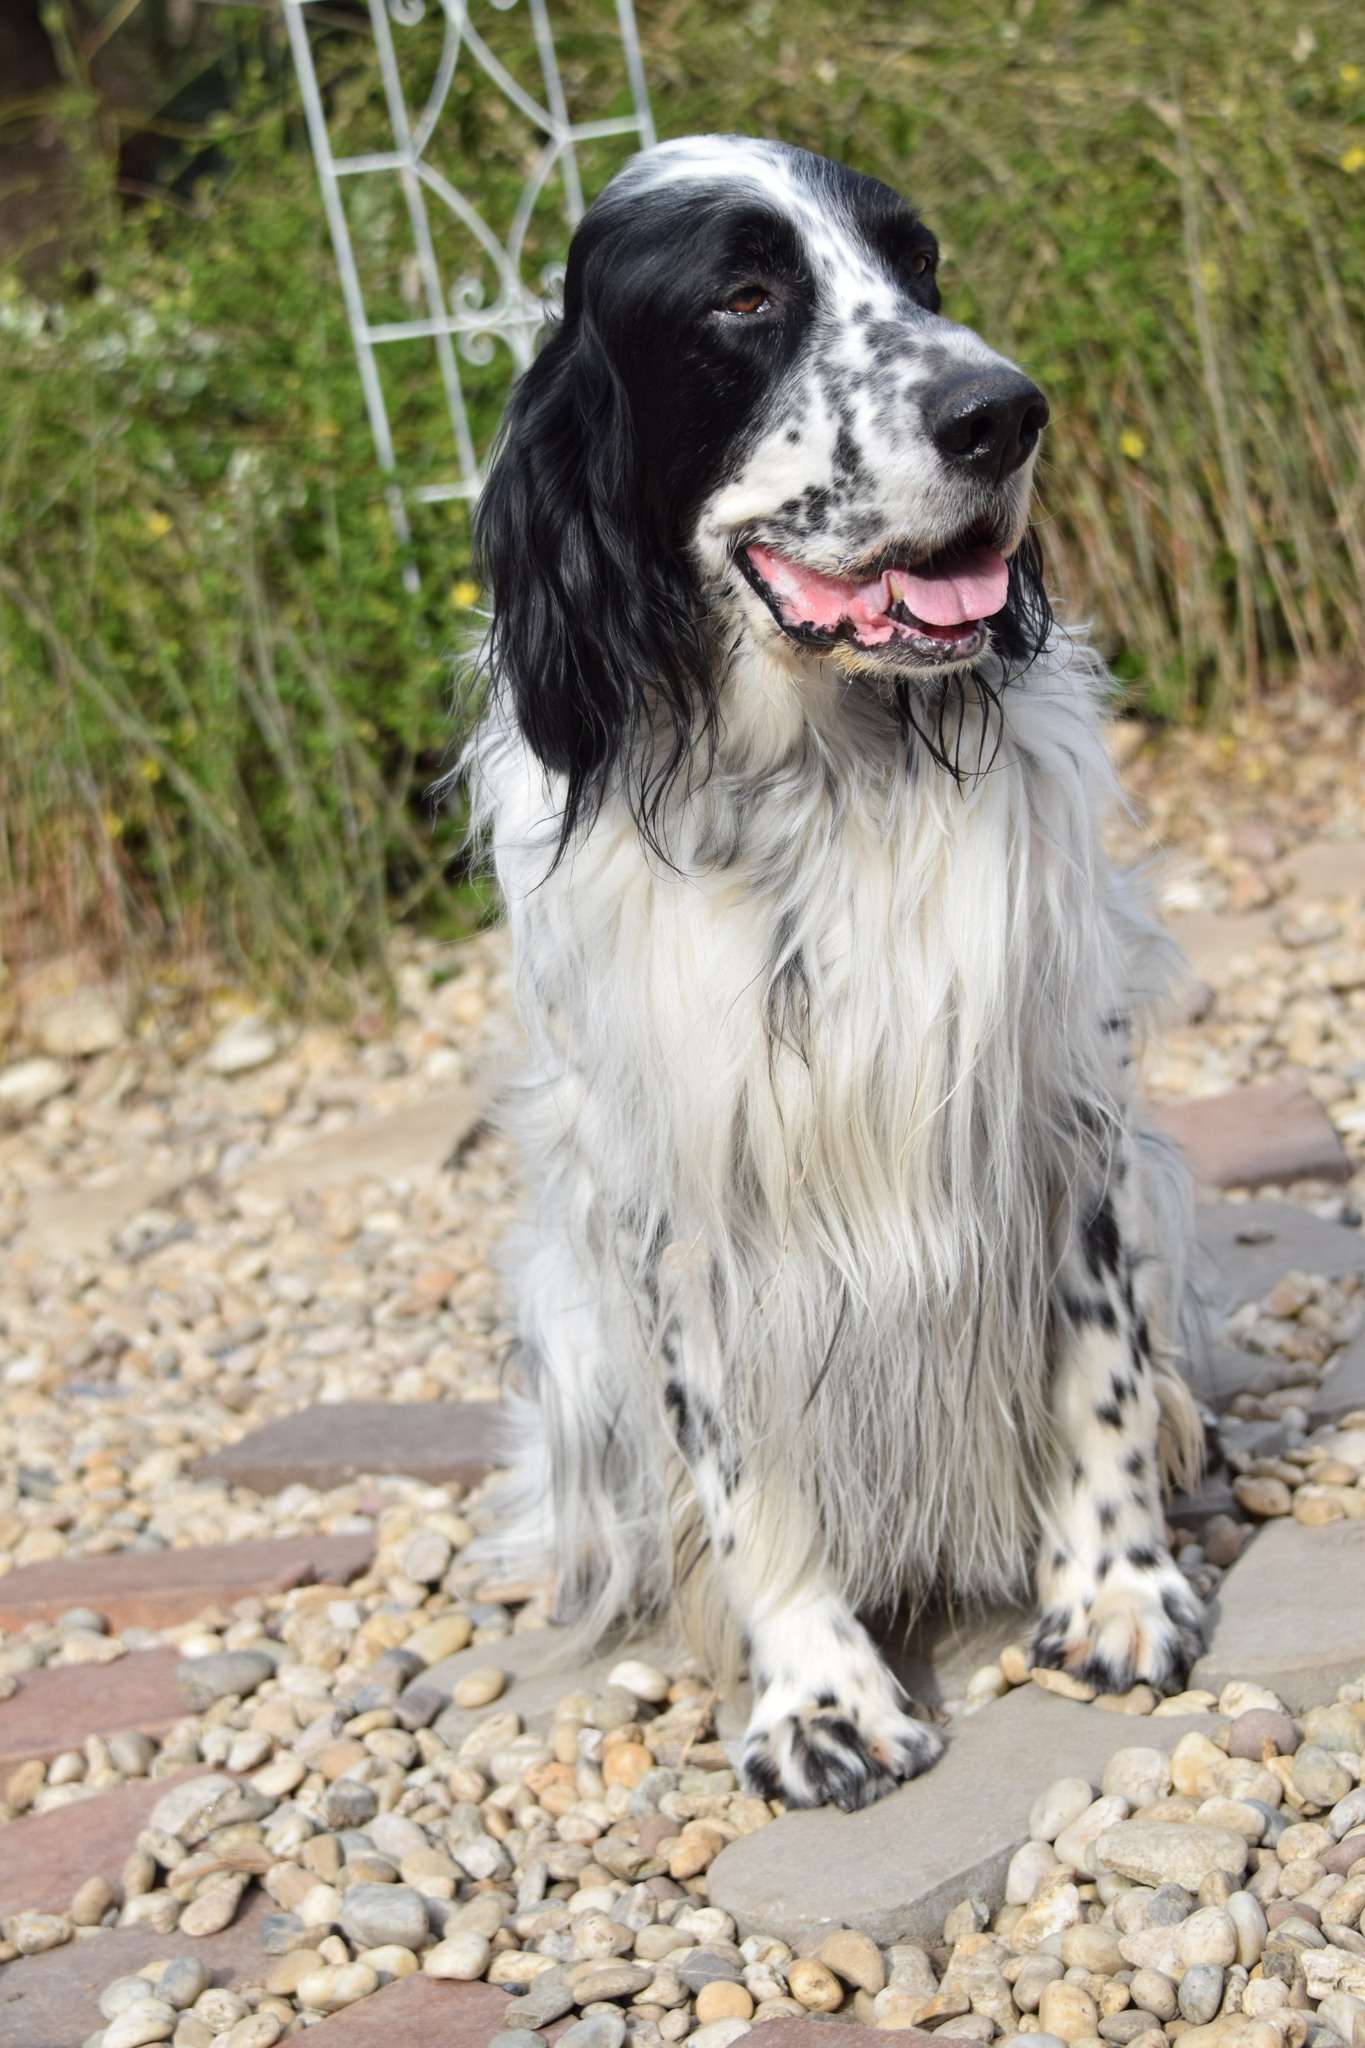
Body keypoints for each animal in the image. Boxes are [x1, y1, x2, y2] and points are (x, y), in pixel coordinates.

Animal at [463, 134, 1206, 1812]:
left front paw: (1116, 1589)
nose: (1003, 412)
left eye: (917, 264)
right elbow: (742, 1460)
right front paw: (817, 1694)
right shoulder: (678, 1178)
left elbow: (1096, 1362)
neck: (823, 773)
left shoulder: (1059, 1086)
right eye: (742, 298)